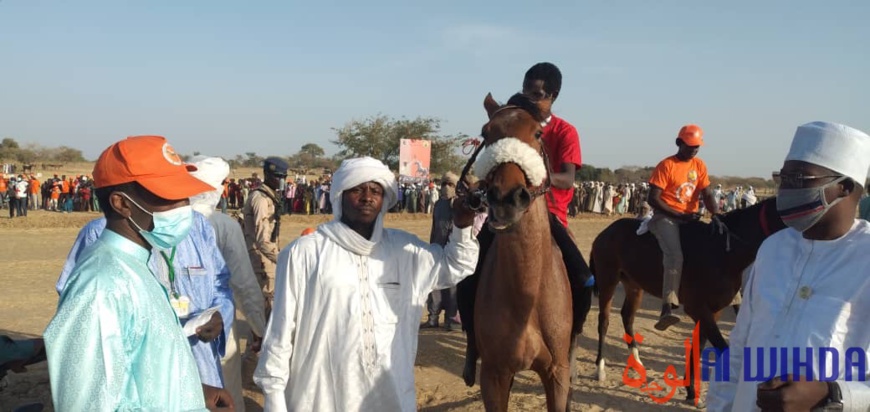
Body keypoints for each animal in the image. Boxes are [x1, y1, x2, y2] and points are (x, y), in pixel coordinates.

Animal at [588, 196, 788, 402]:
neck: (722, 253)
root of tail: (606, 232)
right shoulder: (697, 307)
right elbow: (722, 348)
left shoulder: (713, 310)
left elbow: (699, 344)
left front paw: (691, 390)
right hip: (608, 280)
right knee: (604, 321)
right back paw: (600, 367)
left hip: (634, 285)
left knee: (627, 317)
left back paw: (637, 362)